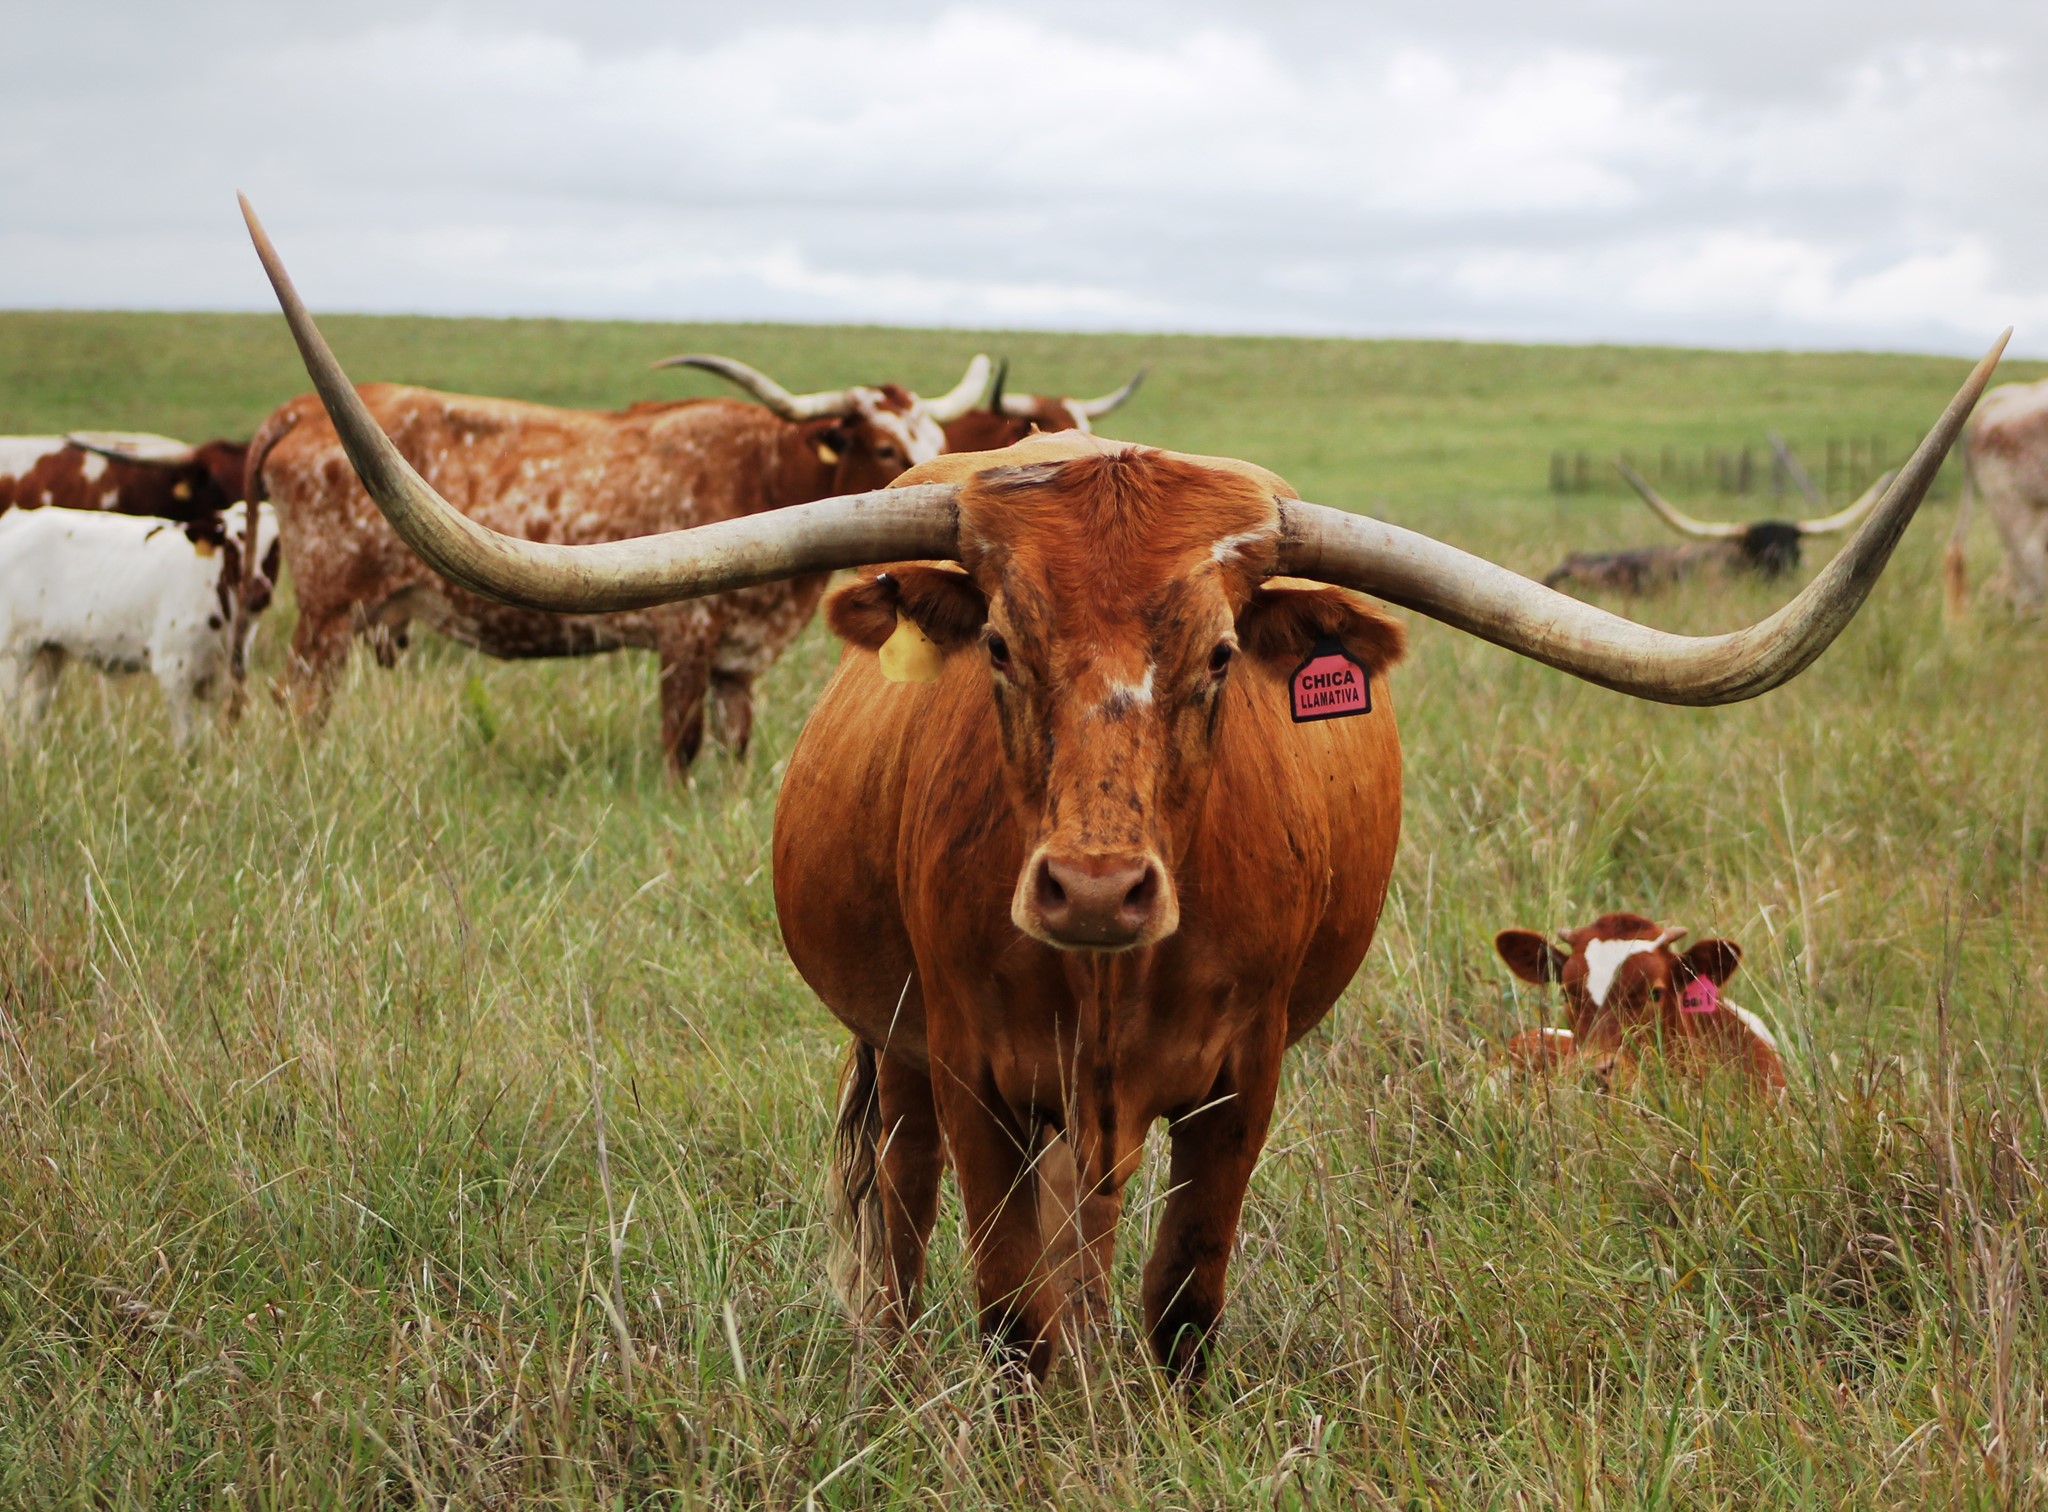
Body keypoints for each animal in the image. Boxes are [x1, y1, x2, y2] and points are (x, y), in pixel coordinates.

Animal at [0, 501, 279, 748]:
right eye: (232, 547)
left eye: (275, 547)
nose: (258, 593)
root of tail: (17, 518)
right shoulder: (174, 668)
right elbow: (187, 742)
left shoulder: (219, 676)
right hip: (12, 653)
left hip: (48, 653)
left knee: (30, 716)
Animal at [246, 351, 991, 772]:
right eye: (888, 447)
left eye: (938, 440)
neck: (767, 470)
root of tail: (302, 408)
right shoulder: (685, 640)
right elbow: (680, 744)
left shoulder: (737, 661)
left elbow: (737, 747)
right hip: (326, 610)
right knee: (296, 700)